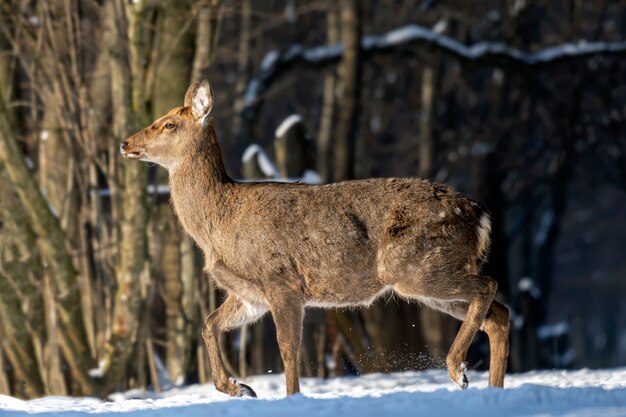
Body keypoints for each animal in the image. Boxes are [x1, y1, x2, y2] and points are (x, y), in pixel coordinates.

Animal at [120, 80, 508, 396]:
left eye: (169, 124)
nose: (125, 142)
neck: (219, 224)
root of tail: (480, 215)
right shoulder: (249, 294)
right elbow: (209, 324)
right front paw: (239, 387)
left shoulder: (282, 280)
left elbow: (288, 349)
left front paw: (288, 397)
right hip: (427, 274)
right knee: (498, 315)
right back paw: (490, 389)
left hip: (416, 266)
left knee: (489, 287)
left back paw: (457, 370)